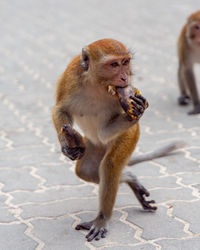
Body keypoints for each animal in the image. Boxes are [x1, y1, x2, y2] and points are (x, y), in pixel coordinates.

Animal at [52, 39, 184, 242]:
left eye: (125, 62)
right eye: (114, 64)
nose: (124, 77)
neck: (96, 83)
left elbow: (106, 131)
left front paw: (137, 109)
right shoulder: (70, 78)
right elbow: (60, 109)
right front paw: (67, 144)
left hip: (129, 137)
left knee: (110, 164)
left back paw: (102, 218)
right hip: (93, 145)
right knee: (87, 170)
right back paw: (130, 177)